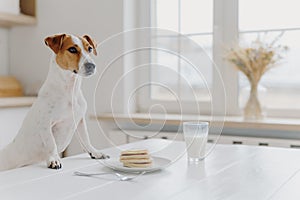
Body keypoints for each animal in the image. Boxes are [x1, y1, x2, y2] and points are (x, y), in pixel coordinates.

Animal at [0, 32, 109, 170]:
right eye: (72, 49)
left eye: (89, 48)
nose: (91, 66)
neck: (69, 91)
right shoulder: (46, 124)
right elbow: (51, 144)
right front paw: (54, 159)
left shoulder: (79, 121)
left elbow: (86, 139)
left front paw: (94, 152)